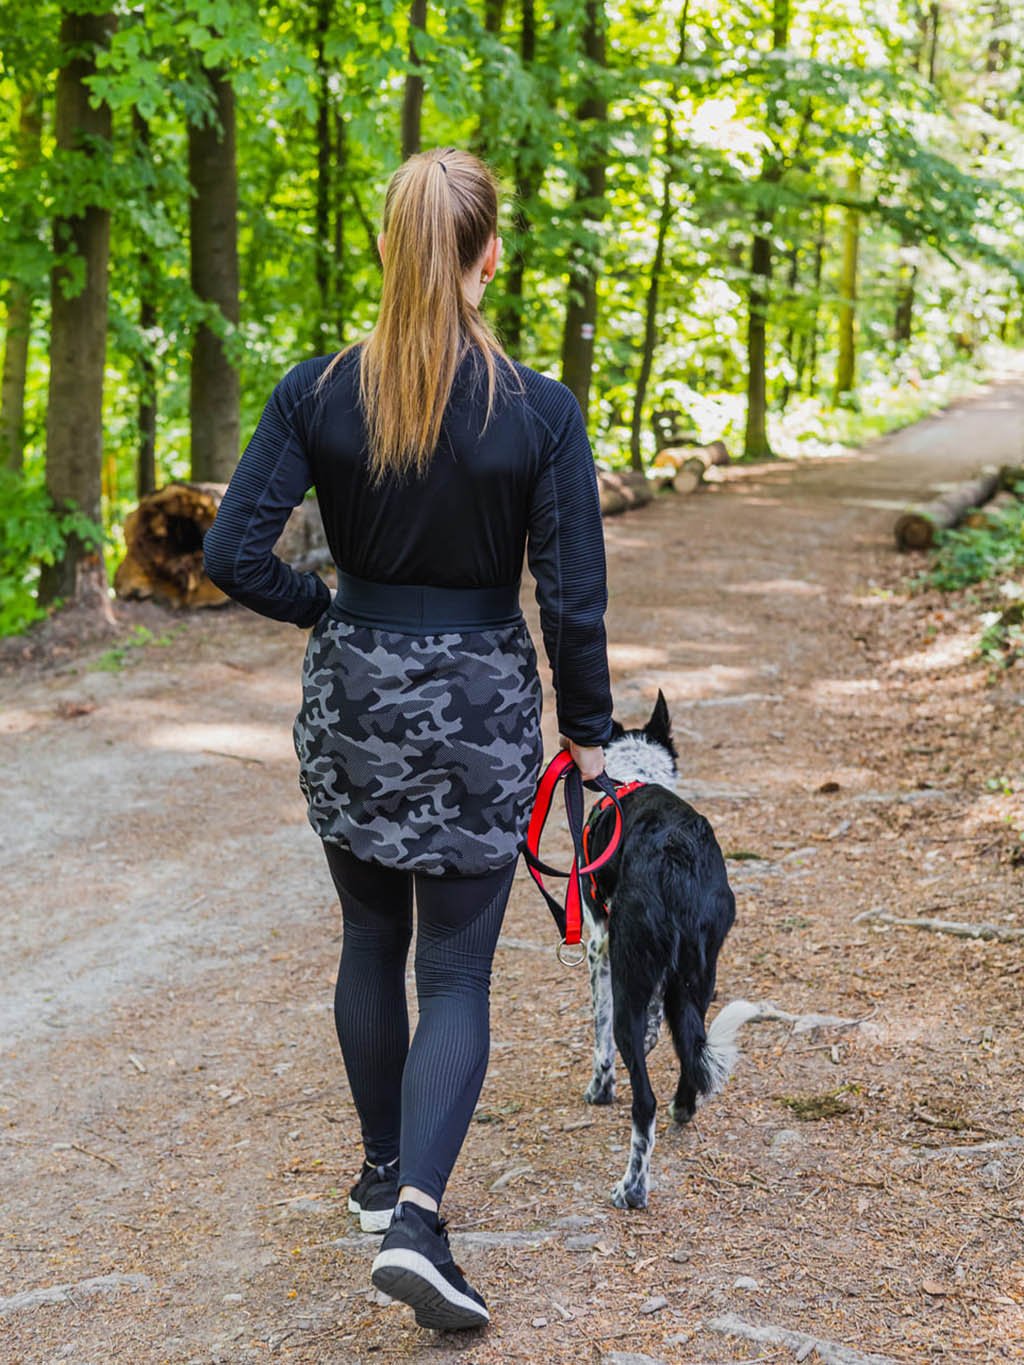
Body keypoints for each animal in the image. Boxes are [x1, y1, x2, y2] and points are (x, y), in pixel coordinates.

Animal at [581, 693, 759, 1206]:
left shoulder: (600, 945)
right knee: (690, 1049)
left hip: (633, 970)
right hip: (700, 976)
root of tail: (676, 853)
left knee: (645, 1103)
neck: (637, 775)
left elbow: (600, 1040)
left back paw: (632, 1189)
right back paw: (684, 1107)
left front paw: (599, 1089)